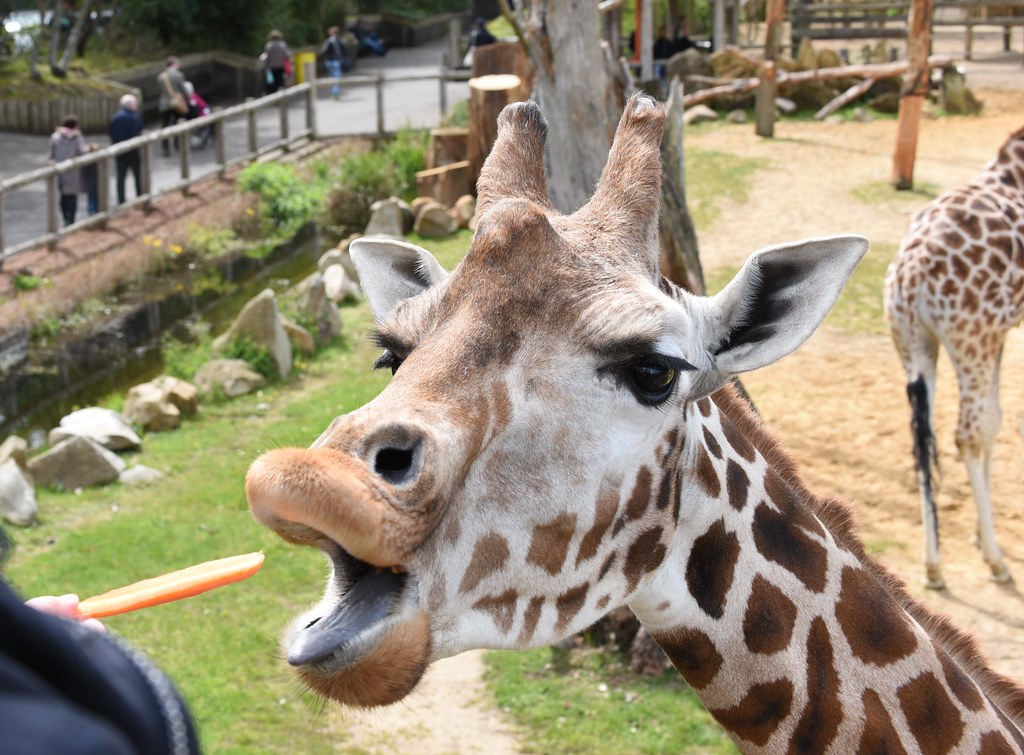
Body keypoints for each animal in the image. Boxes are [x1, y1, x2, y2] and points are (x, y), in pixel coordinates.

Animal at [884, 124, 1024, 591]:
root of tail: (912, 272)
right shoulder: (999, 330)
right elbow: (990, 424)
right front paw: (987, 543)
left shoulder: (1000, 334)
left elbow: (996, 419)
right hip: (969, 336)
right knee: (966, 432)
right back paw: (996, 562)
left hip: (915, 341)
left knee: (922, 433)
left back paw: (934, 563)